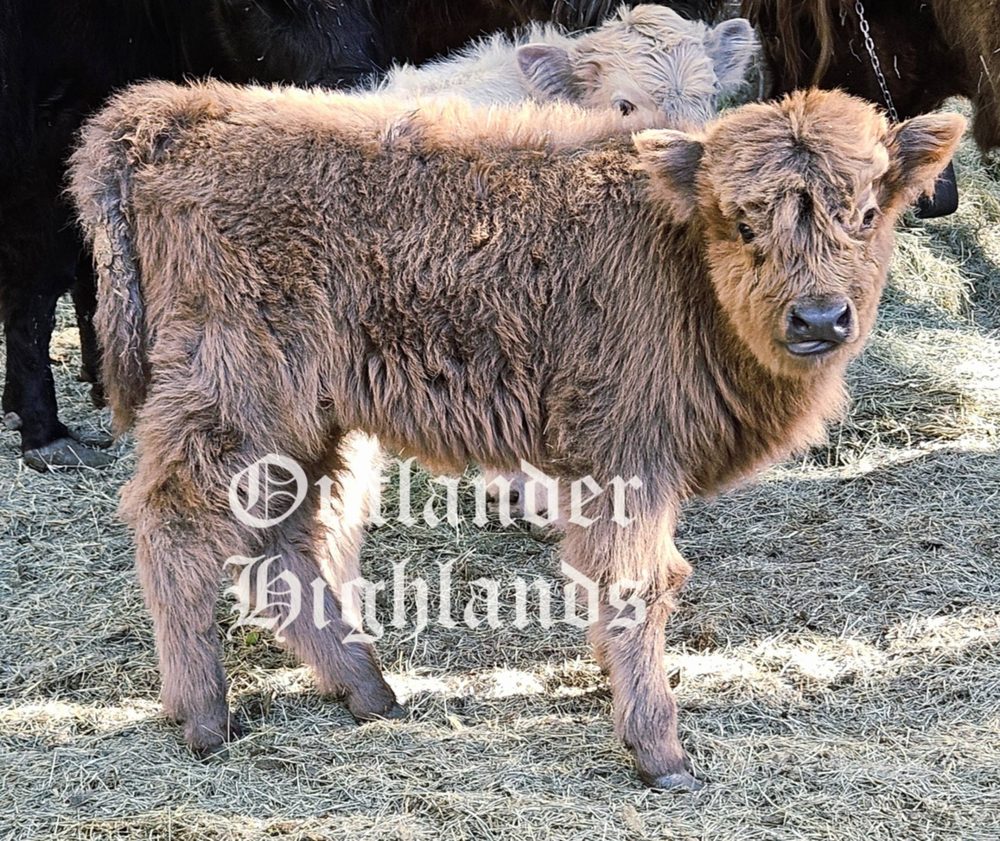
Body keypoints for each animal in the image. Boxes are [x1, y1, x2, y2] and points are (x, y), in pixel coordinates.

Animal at [68, 79, 963, 788]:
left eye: (867, 211)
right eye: (742, 222)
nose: (819, 318)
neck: (676, 251)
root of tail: (182, 112)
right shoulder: (630, 459)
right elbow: (642, 582)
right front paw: (660, 750)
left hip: (306, 424)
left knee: (280, 543)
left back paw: (368, 692)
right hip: (235, 400)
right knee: (178, 522)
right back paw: (206, 717)